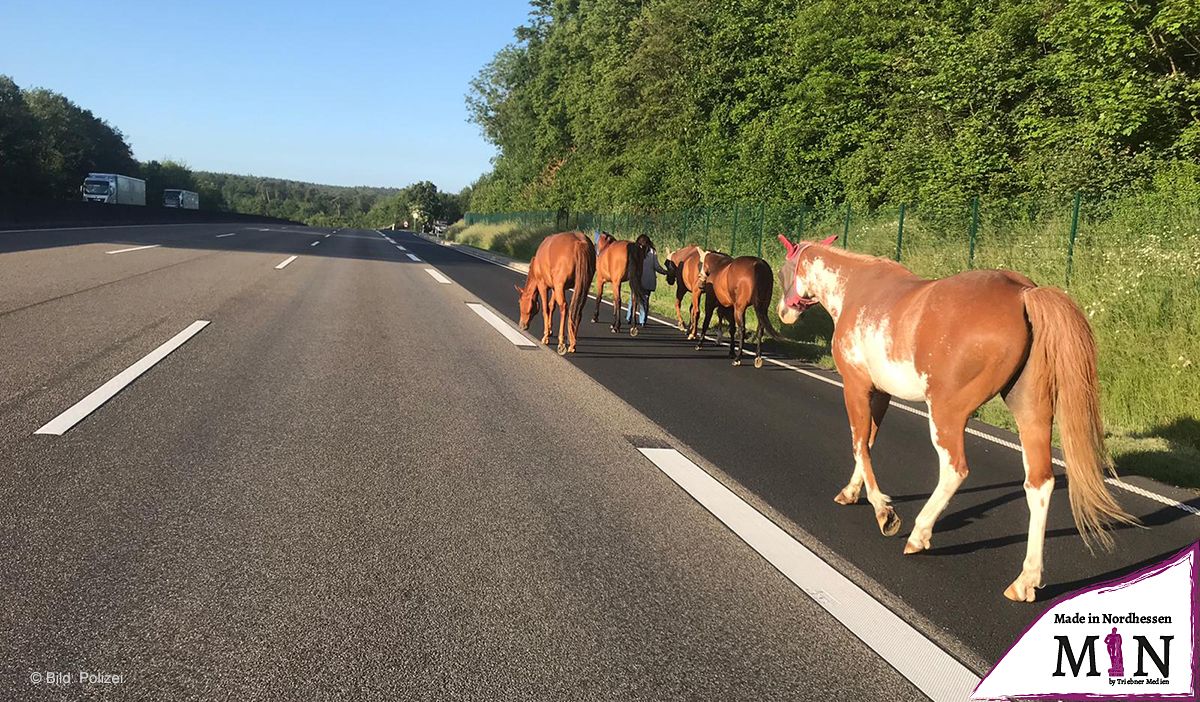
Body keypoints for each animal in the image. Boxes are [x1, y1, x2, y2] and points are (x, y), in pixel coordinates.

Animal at [772, 232, 1137, 600]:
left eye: (782, 271)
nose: (782, 312)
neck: (854, 289)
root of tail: (1023, 293)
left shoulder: (856, 386)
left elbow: (859, 442)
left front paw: (883, 511)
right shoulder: (882, 394)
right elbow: (869, 442)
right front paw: (850, 492)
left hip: (945, 411)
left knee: (955, 469)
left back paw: (919, 533)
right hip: (1030, 412)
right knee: (1039, 482)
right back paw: (1025, 581)